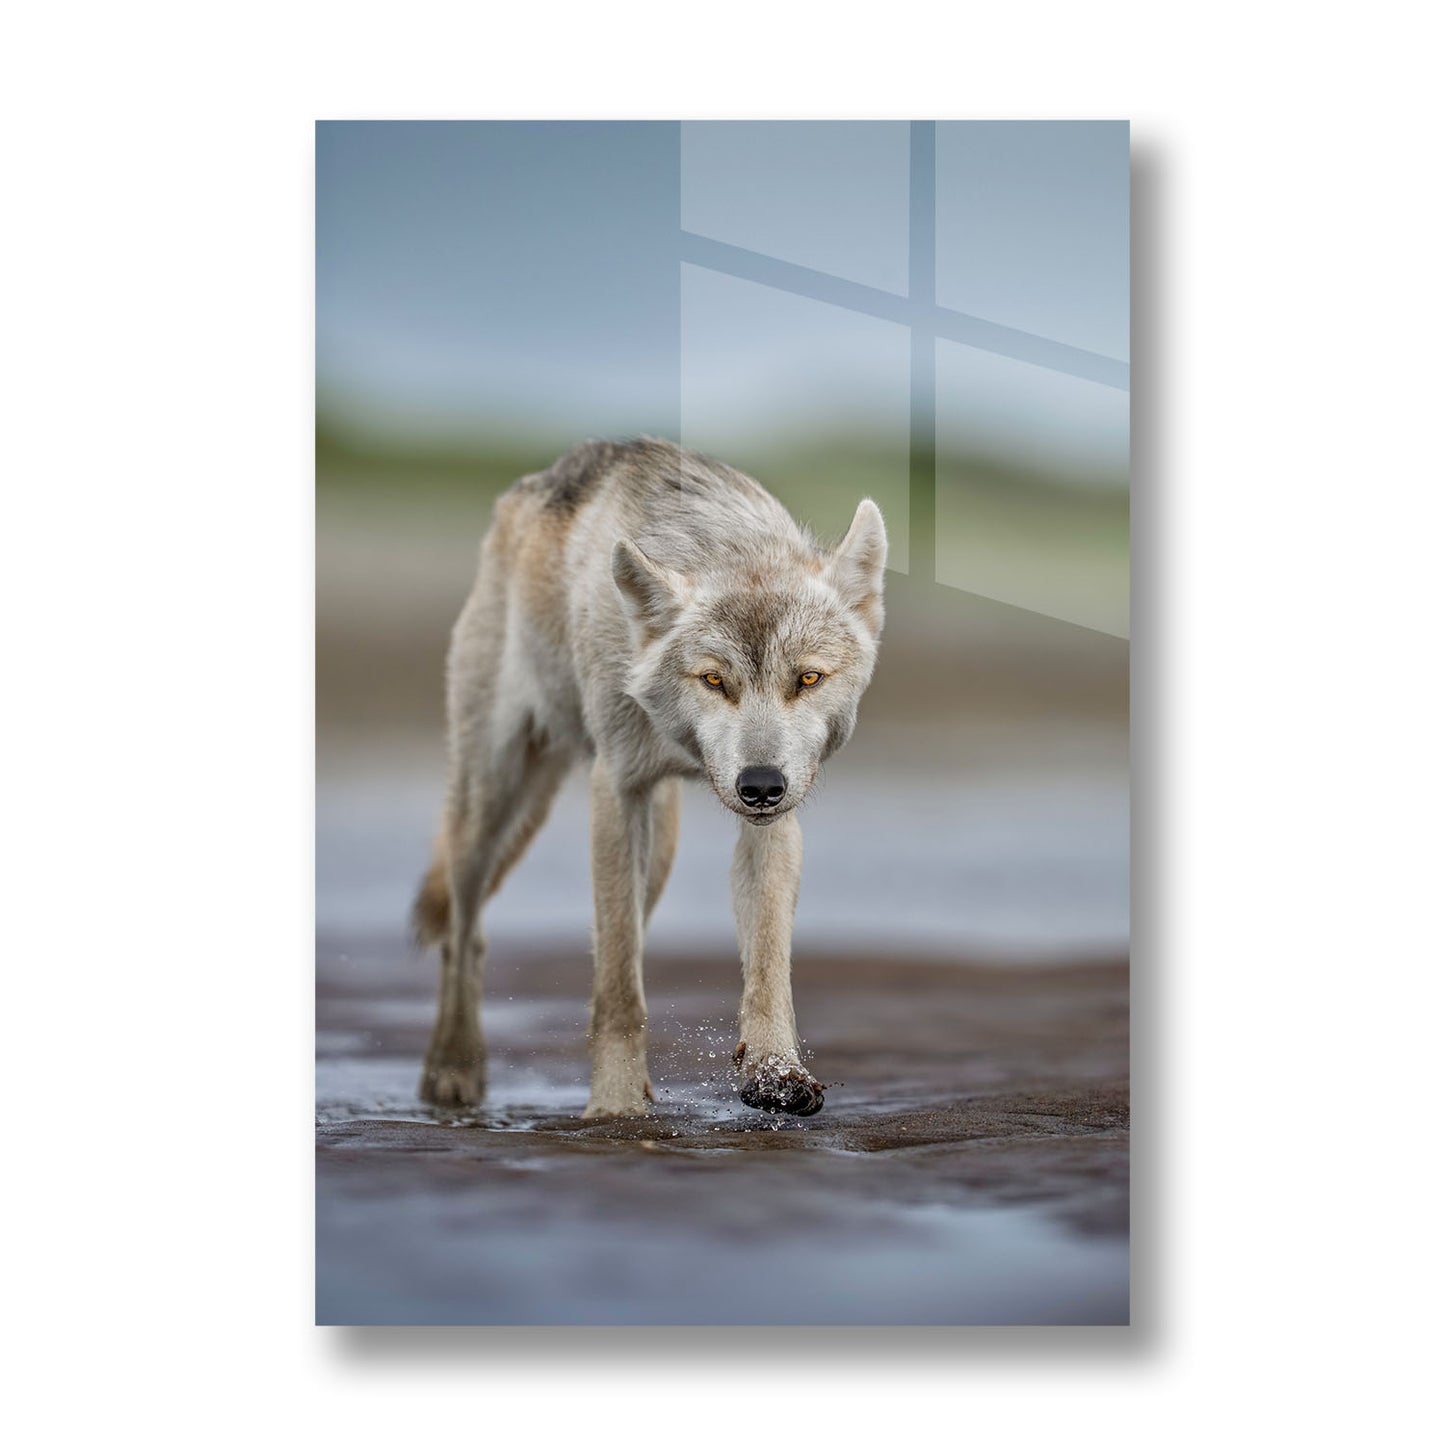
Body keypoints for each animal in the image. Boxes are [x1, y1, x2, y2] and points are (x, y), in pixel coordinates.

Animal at [410, 437, 887, 1118]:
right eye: (713, 679)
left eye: (808, 678)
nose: (759, 785)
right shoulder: (615, 791)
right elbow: (617, 991)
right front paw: (614, 1110)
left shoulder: (774, 822)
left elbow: (767, 963)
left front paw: (774, 1073)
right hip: (490, 805)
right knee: (464, 933)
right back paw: (452, 1070)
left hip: (658, 847)